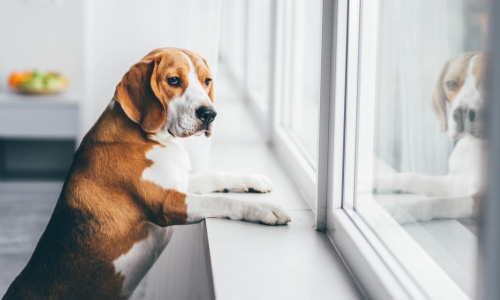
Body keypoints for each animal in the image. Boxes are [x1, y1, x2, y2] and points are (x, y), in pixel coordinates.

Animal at [2, 48, 290, 298]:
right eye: (174, 80)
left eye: (207, 81)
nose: (209, 113)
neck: (150, 137)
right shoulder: (168, 202)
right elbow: (220, 200)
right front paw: (265, 209)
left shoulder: (180, 183)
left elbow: (216, 177)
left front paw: (253, 180)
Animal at [376, 51, 484, 224]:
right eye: (451, 83)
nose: (461, 113)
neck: (475, 146)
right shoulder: (453, 184)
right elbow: (411, 178)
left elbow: (441, 202)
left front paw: (402, 209)